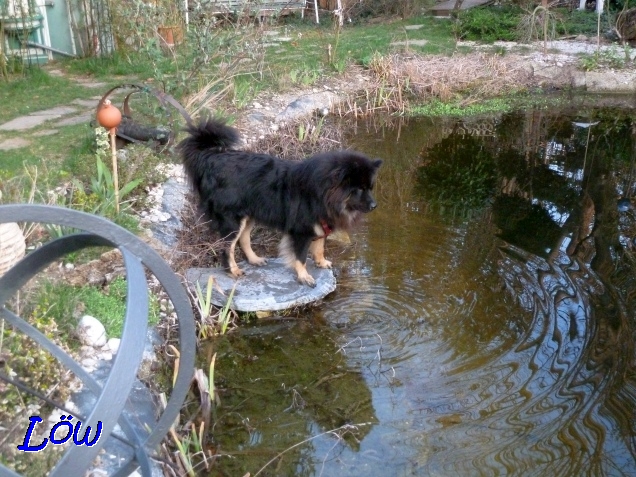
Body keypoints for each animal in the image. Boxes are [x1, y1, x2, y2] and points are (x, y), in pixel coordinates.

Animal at [176, 118, 380, 286]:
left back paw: (254, 259)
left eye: (370, 187)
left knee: (244, 239)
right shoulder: (301, 232)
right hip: (232, 221)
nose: (374, 206)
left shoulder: (321, 225)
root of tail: (212, 158)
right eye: (359, 189)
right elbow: (300, 257)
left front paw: (321, 262)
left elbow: (319, 248)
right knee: (227, 248)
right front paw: (304, 276)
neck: (322, 194)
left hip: (249, 216)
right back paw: (233, 271)